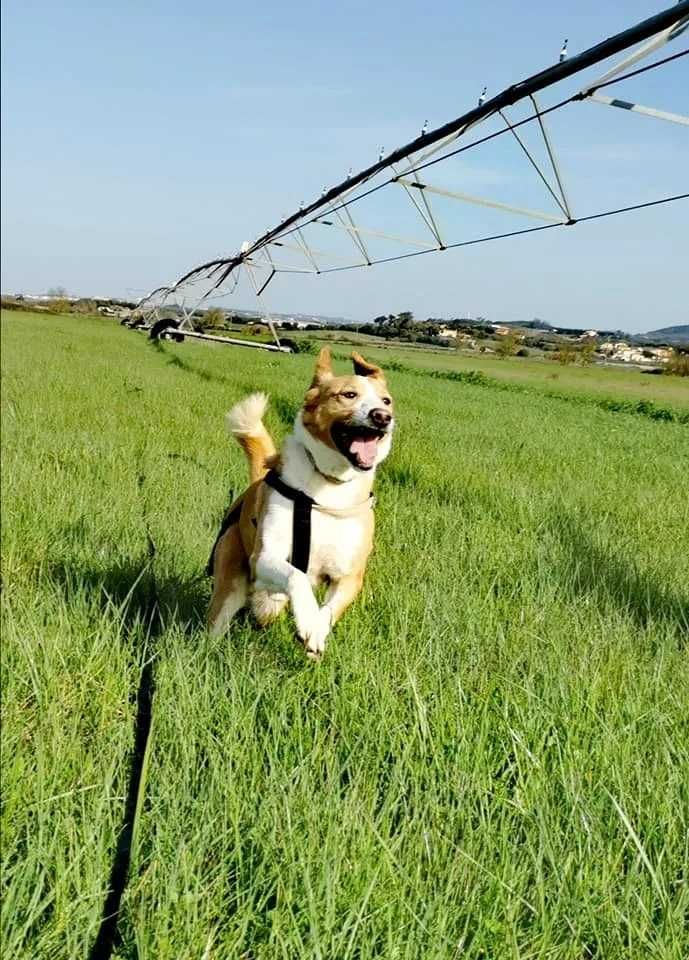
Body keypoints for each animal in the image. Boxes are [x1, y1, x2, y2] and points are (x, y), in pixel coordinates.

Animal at [206, 346, 392, 660]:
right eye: (348, 395)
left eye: (387, 401)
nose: (382, 417)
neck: (328, 488)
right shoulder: (264, 557)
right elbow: (298, 577)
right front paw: (306, 619)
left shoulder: (349, 576)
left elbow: (328, 610)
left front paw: (315, 631)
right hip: (230, 575)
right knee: (219, 619)